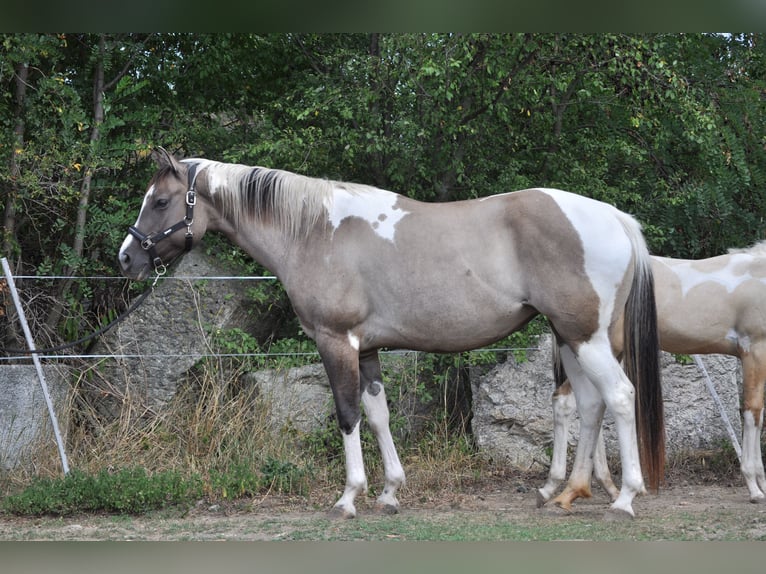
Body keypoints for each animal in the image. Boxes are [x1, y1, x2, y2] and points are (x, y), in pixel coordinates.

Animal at [118, 147, 664, 519]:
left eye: (161, 201)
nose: (126, 257)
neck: (313, 231)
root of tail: (613, 216)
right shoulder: (368, 350)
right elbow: (378, 415)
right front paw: (389, 491)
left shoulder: (335, 341)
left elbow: (346, 414)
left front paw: (348, 497)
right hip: (570, 336)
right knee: (589, 404)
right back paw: (565, 491)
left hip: (585, 336)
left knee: (619, 396)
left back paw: (625, 498)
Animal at [539, 246, 766, 509]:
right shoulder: (754, 352)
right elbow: (752, 413)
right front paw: (755, 488)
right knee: (572, 401)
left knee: (588, 404)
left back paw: (601, 488)